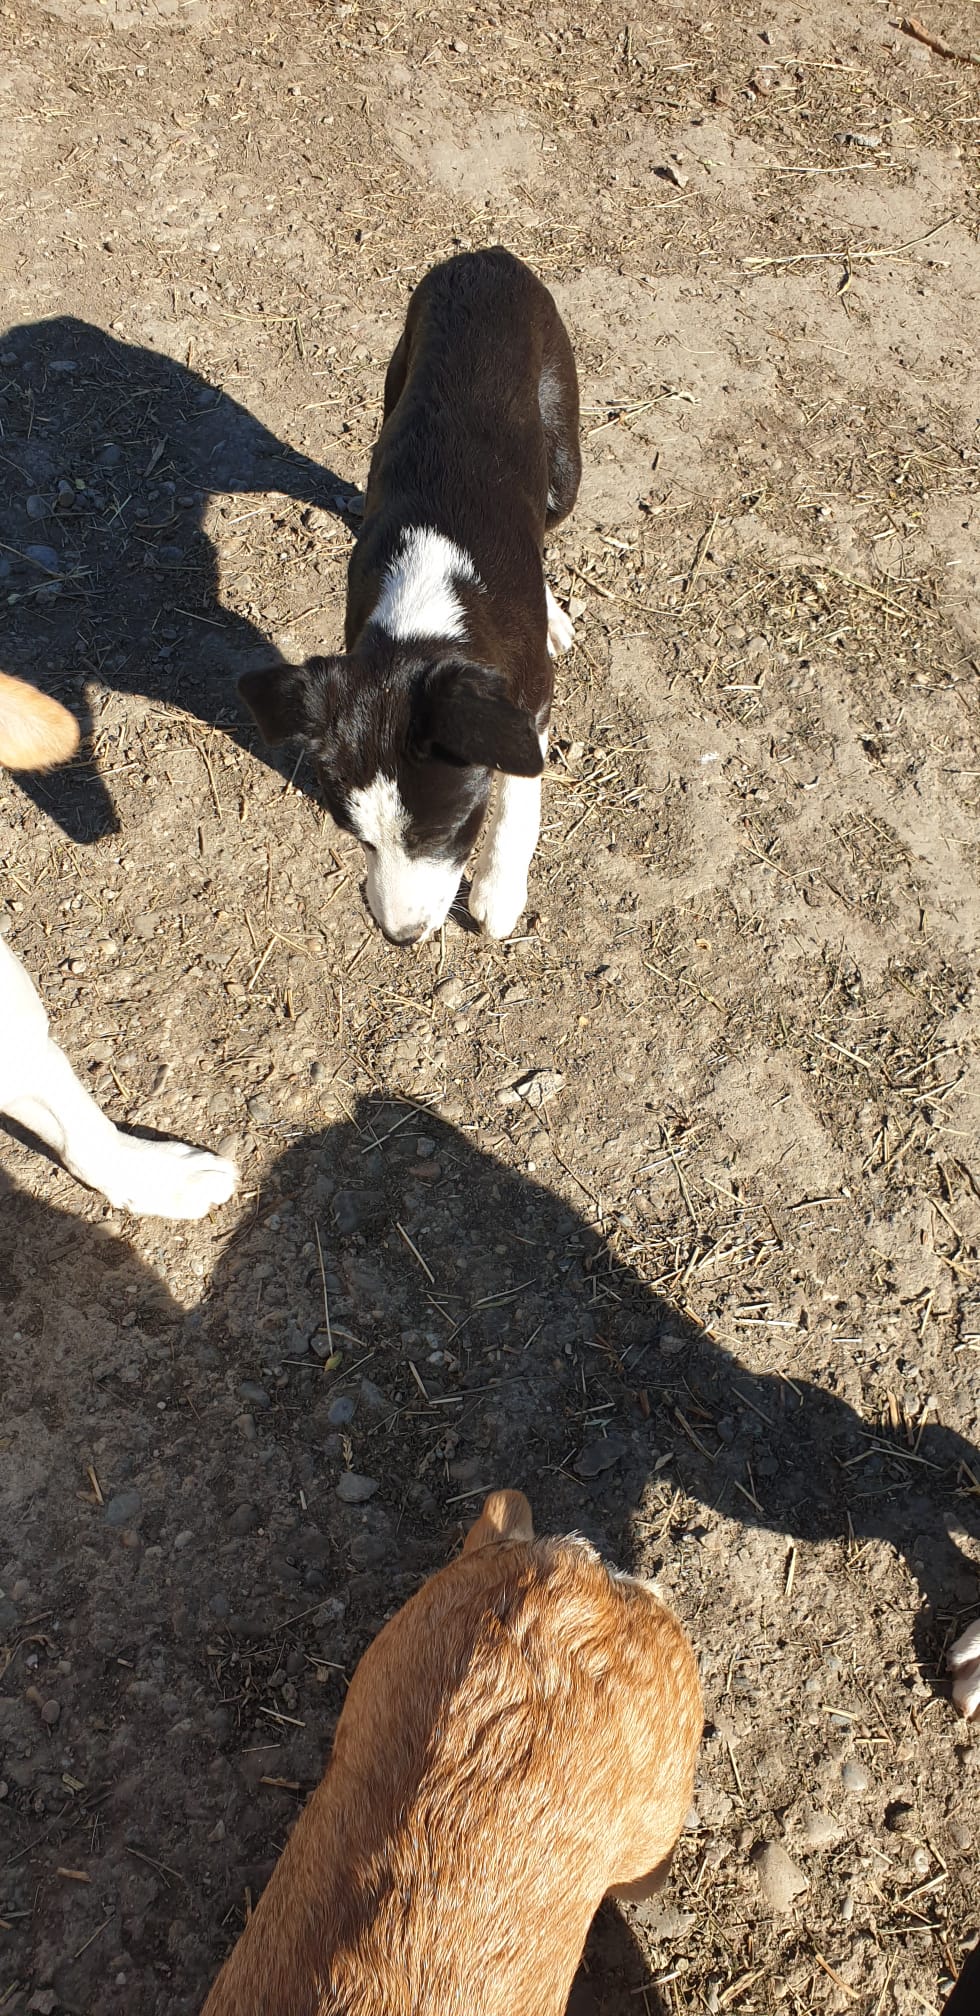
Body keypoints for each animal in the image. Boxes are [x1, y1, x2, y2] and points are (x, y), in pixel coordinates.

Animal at [238, 247, 581, 944]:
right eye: (358, 837)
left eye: (447, 833)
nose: (401, 935)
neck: (422, 619)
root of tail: (486, 256)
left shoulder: (528, 697)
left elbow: (520, 788)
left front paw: (499, 892)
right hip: (395, 379)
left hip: (562, 456)